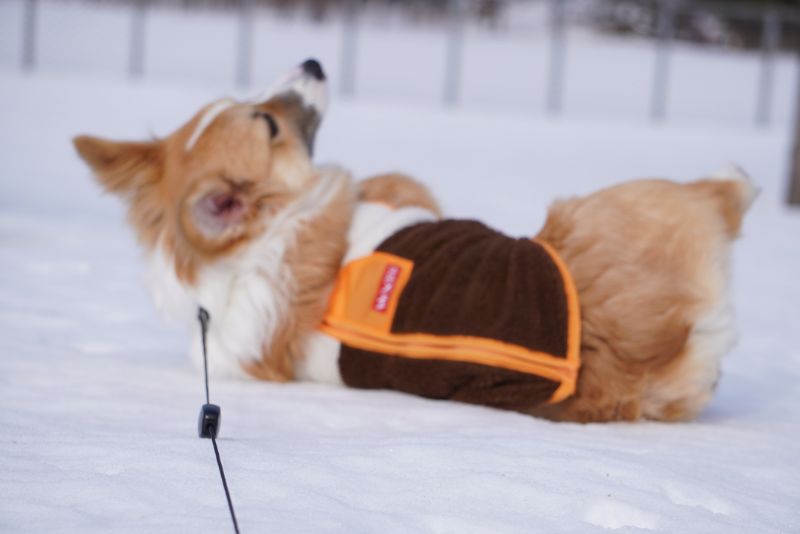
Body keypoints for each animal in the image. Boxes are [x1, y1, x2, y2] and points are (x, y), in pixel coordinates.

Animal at [72, 58, 752, 426]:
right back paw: (734, 180)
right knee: (723, 191)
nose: (314, 63)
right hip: (604, 206)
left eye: (250, 106)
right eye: (267, 123)